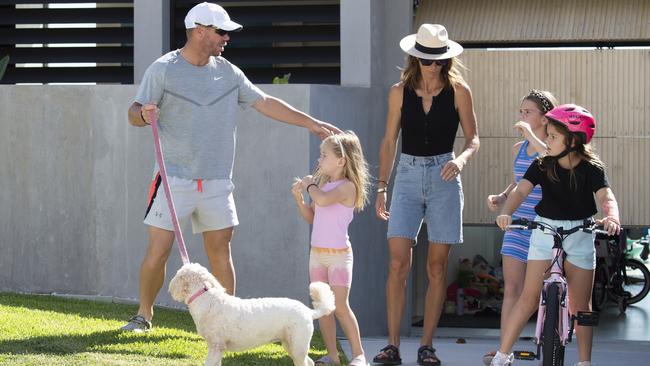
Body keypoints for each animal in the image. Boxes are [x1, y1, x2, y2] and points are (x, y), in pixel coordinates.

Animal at [167, 264, 334, 366]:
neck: (207, 299)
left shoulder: (216, 346)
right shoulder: (217, 348)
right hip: (290, 344)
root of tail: (309, 311)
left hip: (298, 344)